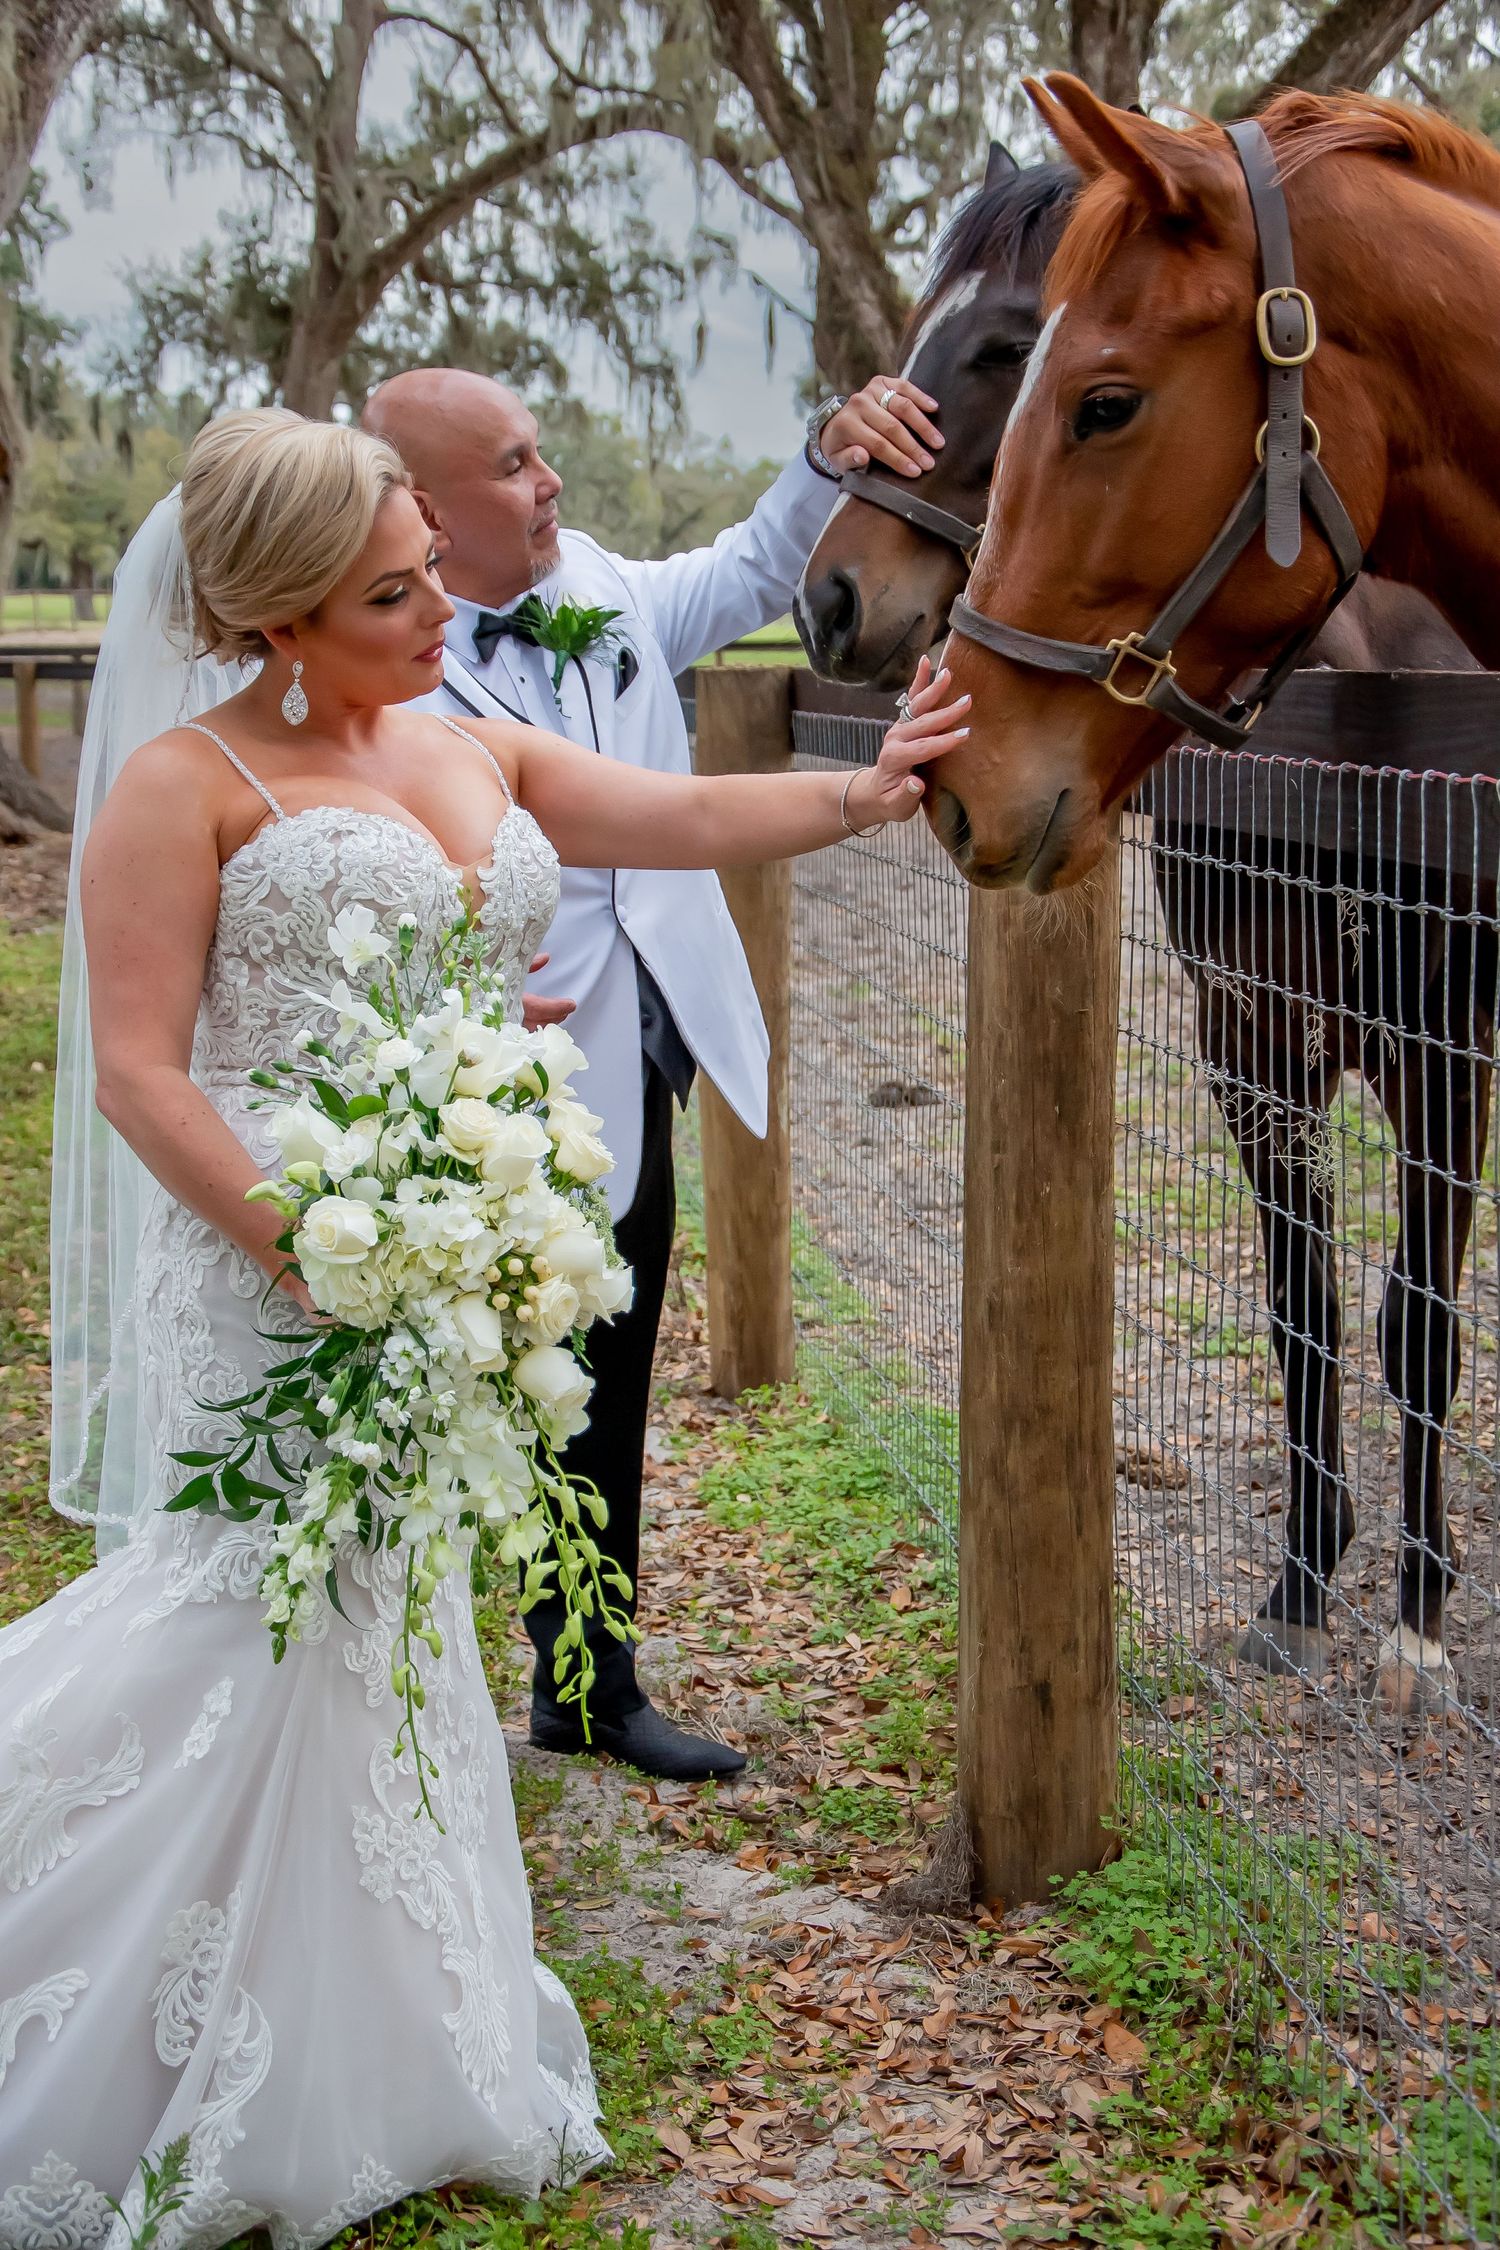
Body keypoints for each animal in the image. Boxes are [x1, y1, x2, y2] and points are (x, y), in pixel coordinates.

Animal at [794, 141, 1485, 1712]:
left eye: (1012, 350)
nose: (828, 599)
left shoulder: (1442, 1055)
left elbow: (1416, 1316)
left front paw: (1419, 1616)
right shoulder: (1252, 1042)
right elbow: (1302, 1305)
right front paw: (1303, 1585)